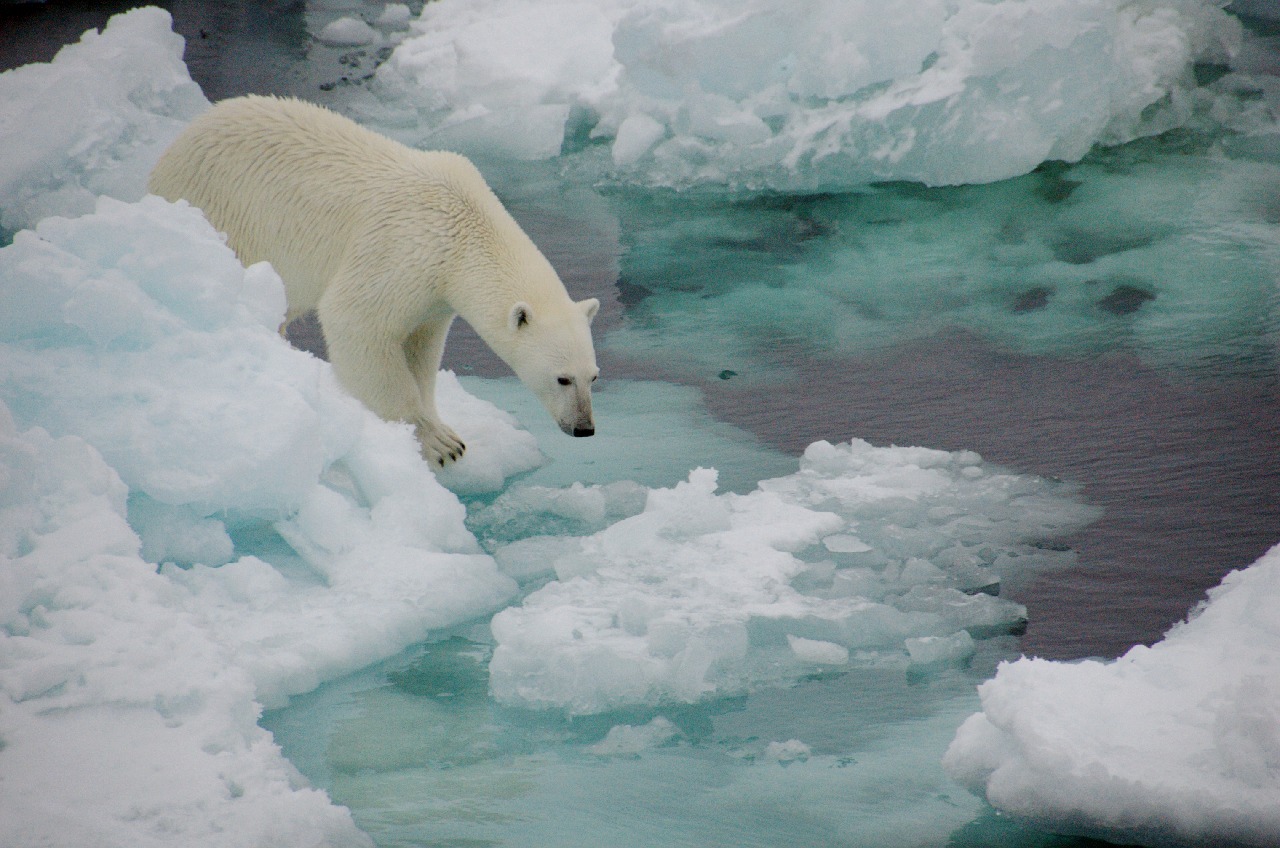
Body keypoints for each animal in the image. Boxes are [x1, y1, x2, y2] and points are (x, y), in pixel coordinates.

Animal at [148, 96, 599, 468]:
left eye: (593, 376)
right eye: (563, 378)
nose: (585, 429)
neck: (463, 227)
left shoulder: (433, 298)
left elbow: (420, 349)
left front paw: (440, 425)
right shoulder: (403, 251)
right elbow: (356, 321)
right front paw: (437, 442)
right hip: (223, 212)